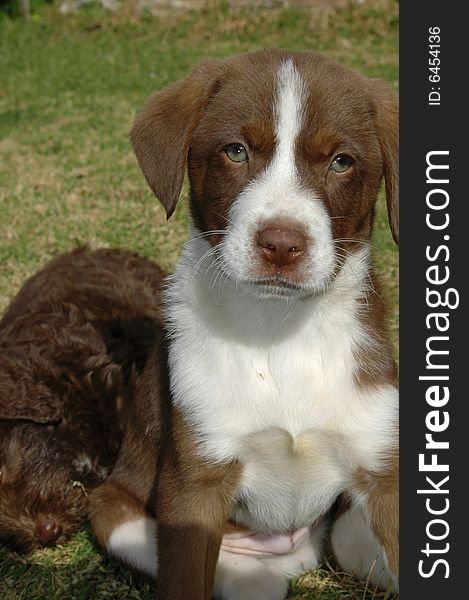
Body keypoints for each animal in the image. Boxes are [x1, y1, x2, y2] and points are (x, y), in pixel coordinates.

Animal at [89, 49, 396, 596]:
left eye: (341, 161)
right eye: (235, 152)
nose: (281, 244)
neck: (281, 327)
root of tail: (294, 559)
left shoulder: (385, 470)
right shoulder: (196, 486)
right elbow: (184, 576)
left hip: (348, 534)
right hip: (113, 512)